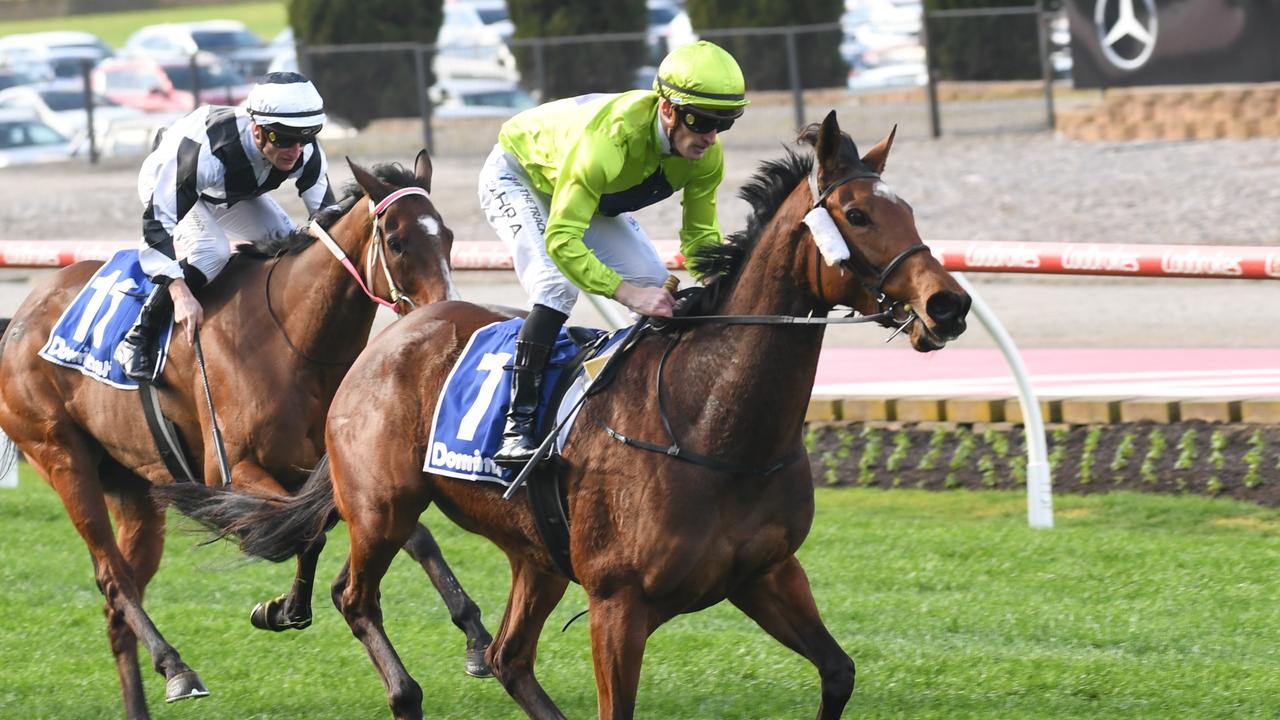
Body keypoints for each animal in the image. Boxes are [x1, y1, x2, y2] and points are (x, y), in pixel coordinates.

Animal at [0, 149, 494, 717]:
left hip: (136, 489)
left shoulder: (346, 466)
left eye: (449, 236)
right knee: (113, 579)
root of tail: (21, 315)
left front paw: (475, 635)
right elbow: (306, 530)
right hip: (63, 459)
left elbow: (400, 534)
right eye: (396, 240)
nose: (447, 312)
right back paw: (178, 669)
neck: (292, 338)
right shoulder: (232, 471)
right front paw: (286, 606)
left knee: (117, 604)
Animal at [165, 113, 972, 717]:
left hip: (533, 553)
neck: (711, 420)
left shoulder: (767, 573)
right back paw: (392, 684)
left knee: (507, 657)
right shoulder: (620, 605)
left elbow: (839, 673)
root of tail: (390, 336)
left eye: (908, 211)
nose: (950, 305)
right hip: (382, 504)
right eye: (858, 213)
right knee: (355, 596)